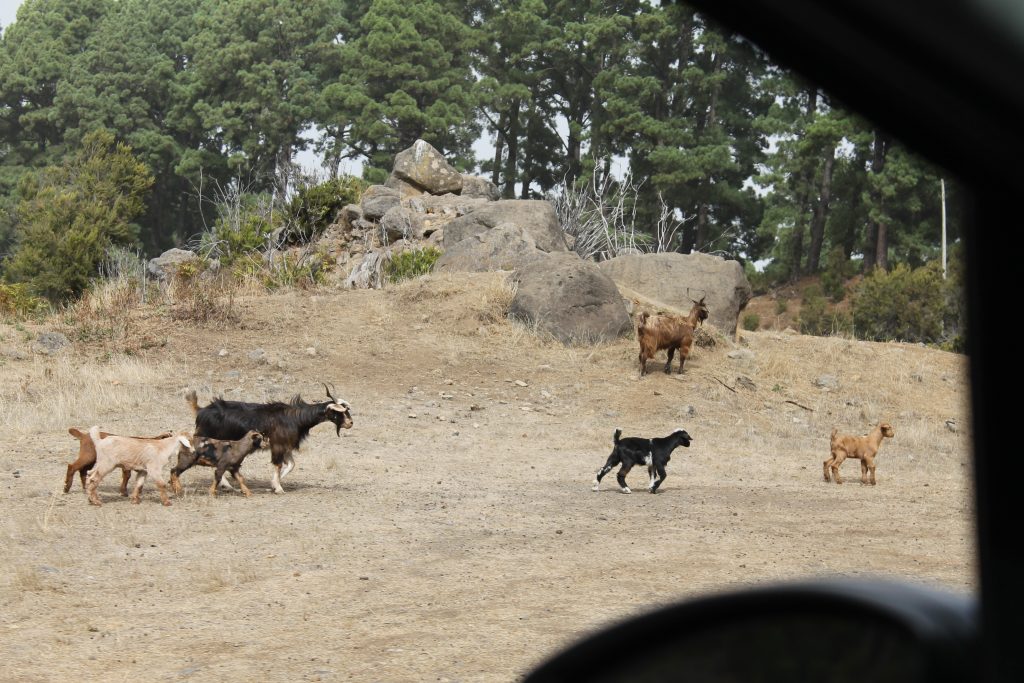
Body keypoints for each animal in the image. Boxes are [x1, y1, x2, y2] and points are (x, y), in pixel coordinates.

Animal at [174, 382, 354, 493]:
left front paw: (272, 485)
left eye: (346, 410)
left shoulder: (286, 447)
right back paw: (226, 485)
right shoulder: (278, 446)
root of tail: (201, 411)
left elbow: (291, 465)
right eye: (338, 412)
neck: (296, 418)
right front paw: (278, 488)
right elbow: (278, 465)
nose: (350, 423)